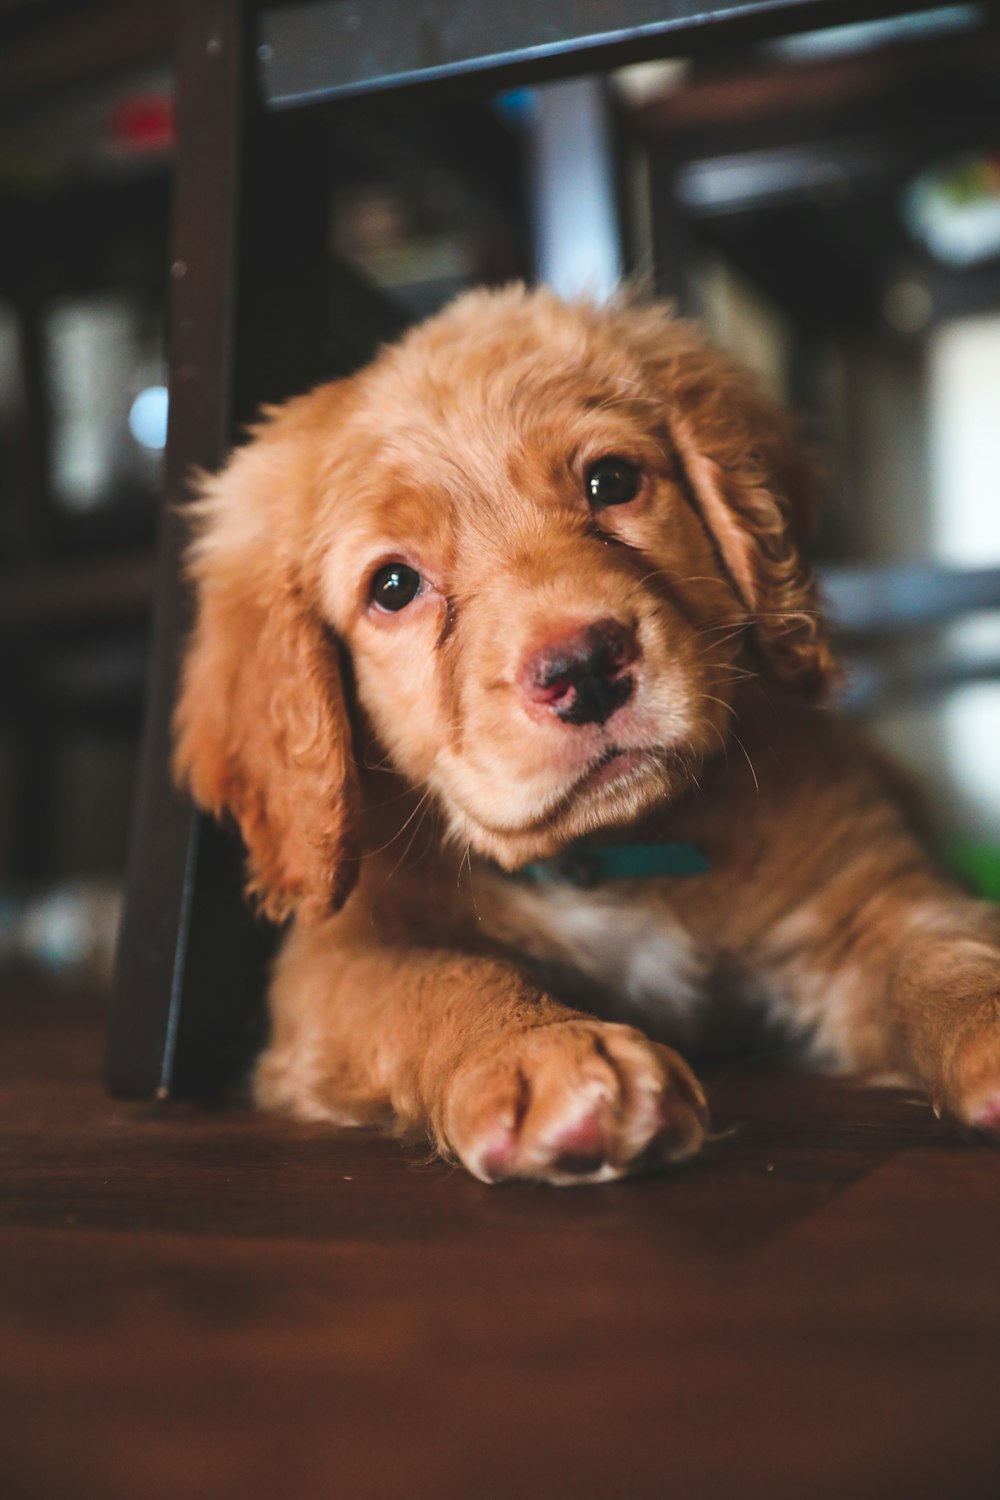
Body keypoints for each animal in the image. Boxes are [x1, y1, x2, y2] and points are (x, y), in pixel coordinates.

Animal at [172, 283, 1000, 1182]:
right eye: (392, 586)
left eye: (611, 480)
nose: (584, 668)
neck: (616, 850)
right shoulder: (337, 958)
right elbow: (435, 980)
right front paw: (541, 1052)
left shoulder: (862, 892)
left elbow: (944, 948)